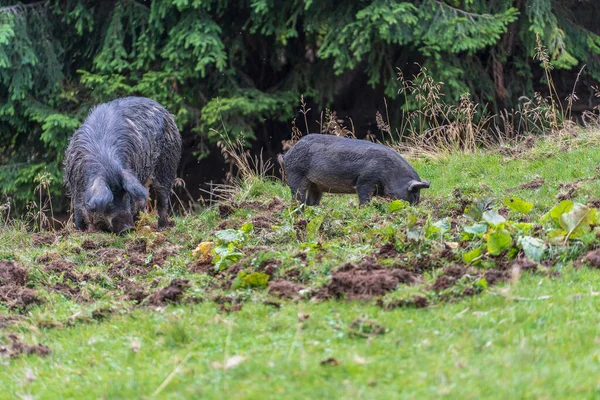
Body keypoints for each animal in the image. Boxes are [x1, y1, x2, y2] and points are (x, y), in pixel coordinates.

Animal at [62, 97, 183, 234]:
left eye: (126, 195)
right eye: (109, 202)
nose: (128, 228)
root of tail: (164, 110)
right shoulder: (75, 188)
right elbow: (79, 215)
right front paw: (80, 231)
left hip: (168, 165)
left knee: (162, 200)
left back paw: (161, 228)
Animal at [278, 134, 428, 205]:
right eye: (414, 193)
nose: (414, 207)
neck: (390, 173)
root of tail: (287, 154)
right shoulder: (366, 180)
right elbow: (364, 197)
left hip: (315, 185)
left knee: (312, 201)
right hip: (296, 174)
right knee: (298, 198)